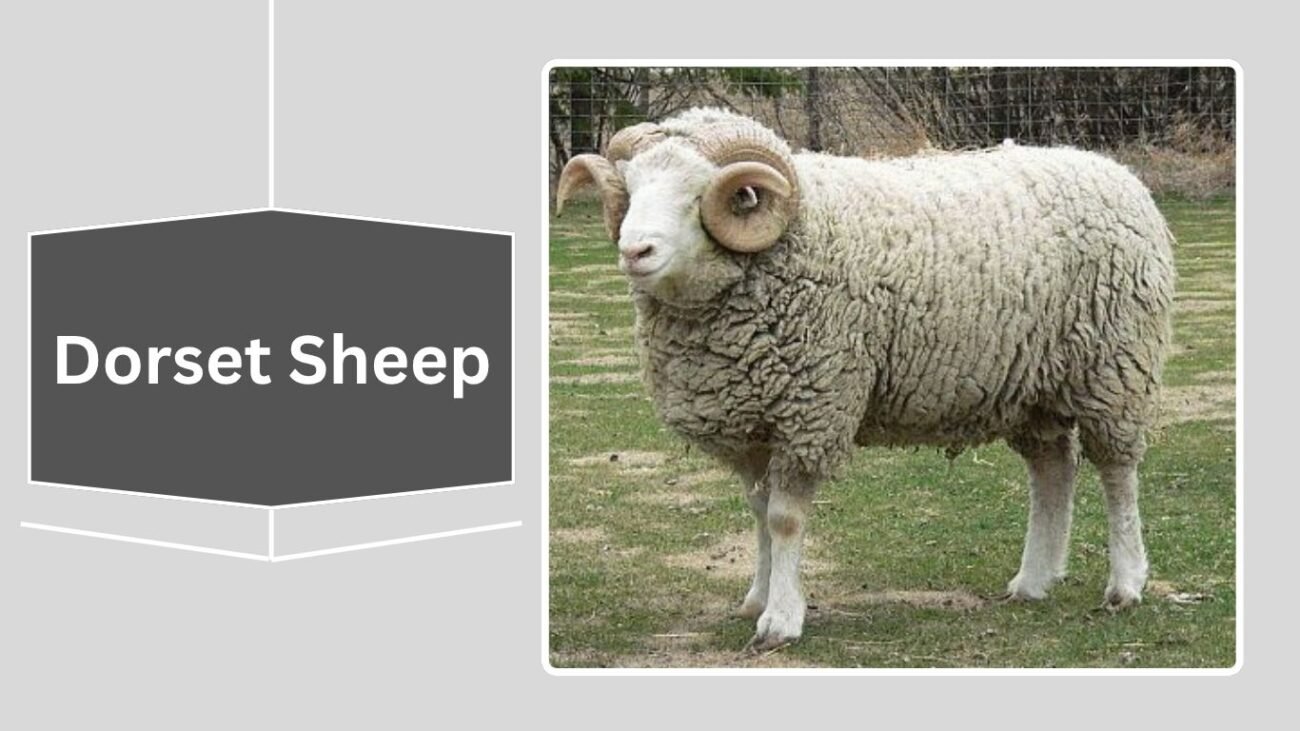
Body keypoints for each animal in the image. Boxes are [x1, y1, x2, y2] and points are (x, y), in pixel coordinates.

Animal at [555, 107, 1176, 651]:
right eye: (632, 189)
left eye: (694, 197)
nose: (634, 250)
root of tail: (1113, 171)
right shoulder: (753, 421)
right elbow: (757, 516)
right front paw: (758, 597)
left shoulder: (811, 408)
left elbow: (783, 520)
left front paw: (780, 621)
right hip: (1032, 386)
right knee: (1053, 469)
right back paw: (1034, 581)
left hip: (1114, 367)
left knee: (1117, 471)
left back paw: (1125, 585)